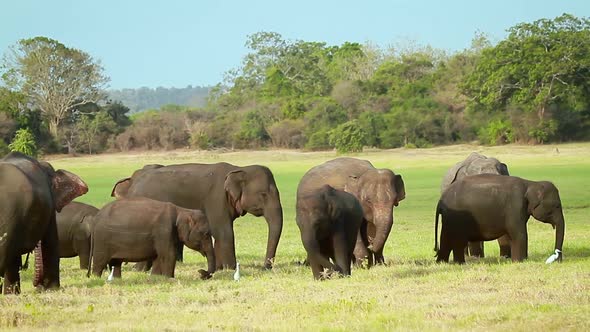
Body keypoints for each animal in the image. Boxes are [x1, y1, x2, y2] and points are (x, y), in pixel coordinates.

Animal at [86, 197, 216, 280]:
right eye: (205, 233)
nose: (202, 273)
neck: (182, 210)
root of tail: (95, 219)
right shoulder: (163, 231)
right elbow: (169, 254)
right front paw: (170, 279)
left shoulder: (167, 235)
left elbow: (159, 256)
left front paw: (156, 278)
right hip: (102, 241)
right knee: (100, 262)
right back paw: (96, 279)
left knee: (116, 262)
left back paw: (117, 280)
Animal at [114, 163, 286, 270]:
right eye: (263, 194)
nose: (265, 267)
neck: (239, 168)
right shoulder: (216, 199)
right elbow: (223, 232)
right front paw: (230, 268)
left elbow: (219, 233)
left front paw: (220, 268)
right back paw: (138, 269)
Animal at [434, 174, 568, 264]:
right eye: (557, 205)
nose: (558, 260)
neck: (531, 183)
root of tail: (441, 199)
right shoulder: (515, 207)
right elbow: (519, 234)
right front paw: (520, 261)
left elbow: (511, 235)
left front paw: (516, 260)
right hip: (456, 218)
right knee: (457, 240)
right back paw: (460, 263)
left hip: (449, 218)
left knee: (445, 238)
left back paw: (443, 263)